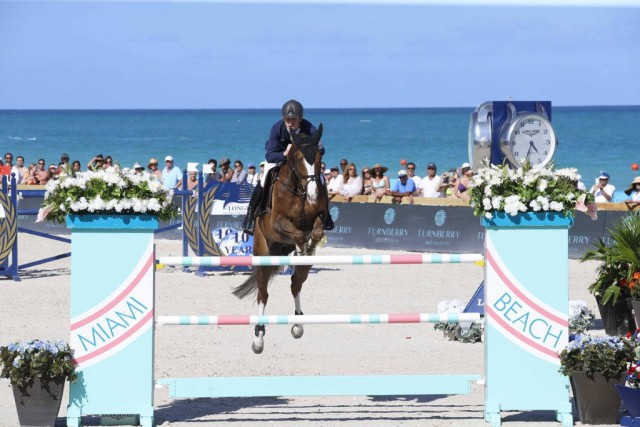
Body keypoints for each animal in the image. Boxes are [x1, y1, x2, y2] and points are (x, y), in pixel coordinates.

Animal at [232, 124, 328, 354]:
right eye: (299, 158)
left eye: (320, 156)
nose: (313, 195)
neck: (299, 189)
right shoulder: (277, 223)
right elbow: (298, 233)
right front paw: (302, 245)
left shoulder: (318, 216)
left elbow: (316, 231)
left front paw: (308, 247)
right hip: (264, 255)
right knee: (263, 293)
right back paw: (258, 337)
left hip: (298, 266)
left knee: (295, 283)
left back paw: (298, 324)